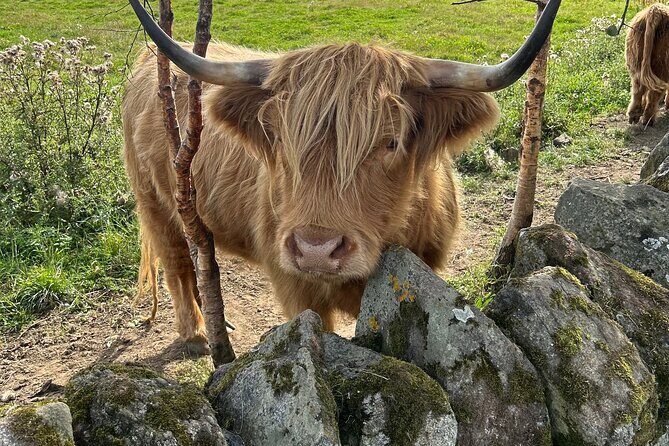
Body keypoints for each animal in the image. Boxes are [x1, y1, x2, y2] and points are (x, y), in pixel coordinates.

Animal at [124, 0, 561, 352]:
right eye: (278, 137)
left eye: (390, 142)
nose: (316, 249)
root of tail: (148, 61)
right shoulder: (295, 287)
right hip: (155, 202)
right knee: (177, 262)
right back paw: (197, 334)